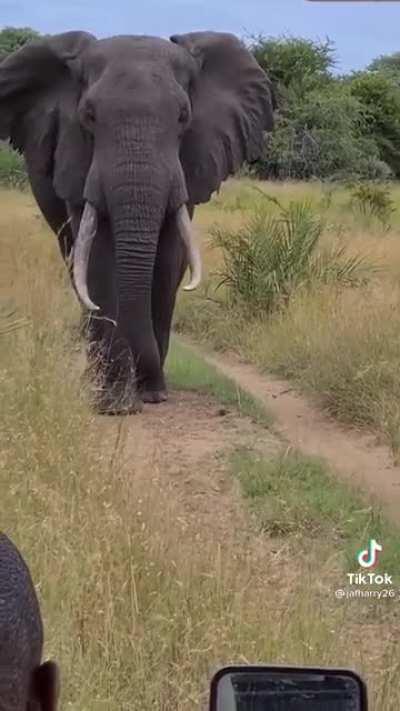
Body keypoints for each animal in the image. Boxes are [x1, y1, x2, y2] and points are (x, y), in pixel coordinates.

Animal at [0, 30, 274, 413]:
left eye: (183, 117)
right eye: (88, 116)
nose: (146, 389)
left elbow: (169, 257)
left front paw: (151, 395)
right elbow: (98, 259)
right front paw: (115, 404)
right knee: (74, 261)